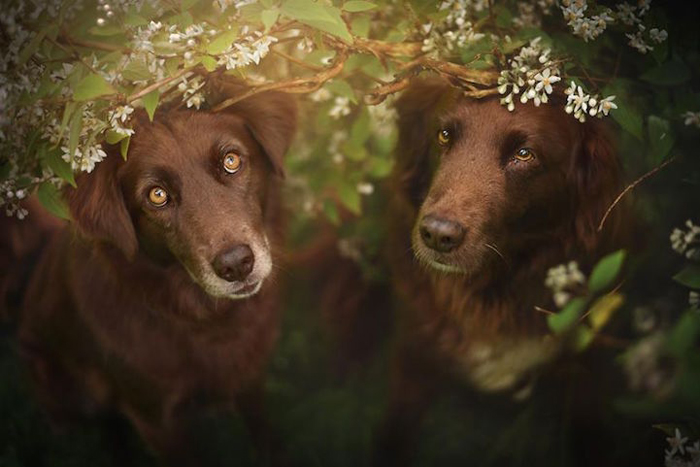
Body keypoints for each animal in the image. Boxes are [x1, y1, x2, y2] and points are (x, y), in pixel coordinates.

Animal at [10, 89, 296, 466]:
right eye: (157, 195)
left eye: (231, 160)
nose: (236, 265)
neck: (207, 321)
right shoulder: (156, 420)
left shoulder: (248, 374)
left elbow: (263, 429)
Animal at [374, 79, 632, 464]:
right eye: (444, 135)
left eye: (524, 154)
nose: (438, 234)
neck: (491, 289)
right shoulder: (412, 354)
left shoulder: (586, 362)